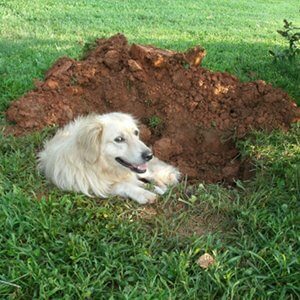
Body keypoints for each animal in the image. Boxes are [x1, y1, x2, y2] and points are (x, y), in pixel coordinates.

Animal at [38, 112, 182, 204]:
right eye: (119, 139)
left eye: (136, 133)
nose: (149, 155)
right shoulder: (95, 187)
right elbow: (124, 185)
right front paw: (144, 193)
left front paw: (156, 188)